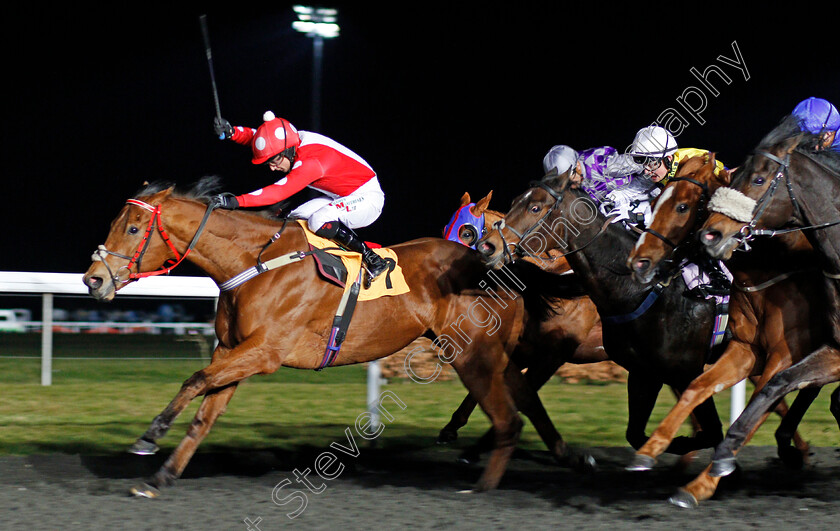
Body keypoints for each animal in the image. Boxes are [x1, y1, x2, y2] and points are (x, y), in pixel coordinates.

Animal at [85, 180, 584, 498]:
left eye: (133, 228)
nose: (93, 280)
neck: (256, 262)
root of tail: (497, 264)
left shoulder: (264, 352)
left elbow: (193, 380)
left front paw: (149, 436)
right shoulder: (234, 351)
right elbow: (205, 413)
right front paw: (161, 477)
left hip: (472, 356)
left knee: (508, 417)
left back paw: (483, 490)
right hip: (494, 354)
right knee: (523, 399)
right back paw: (565, 457)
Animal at [628, 155, 824, 508]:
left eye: (682, 207)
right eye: (654, 200)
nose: (639, 261)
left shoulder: (783, 356)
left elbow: (755, 409)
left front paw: (703, 483)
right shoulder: (746, 350)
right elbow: (698, 388)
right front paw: (653, 451)